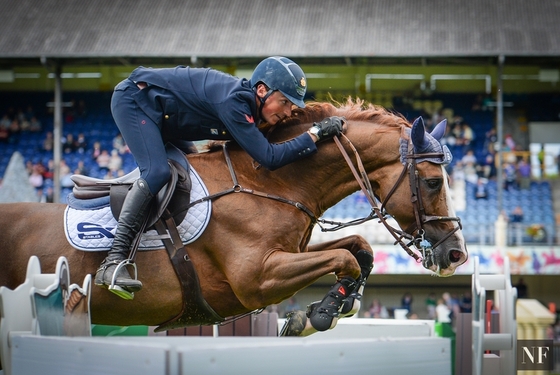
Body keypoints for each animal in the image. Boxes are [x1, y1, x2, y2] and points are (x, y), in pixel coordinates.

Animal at [0, 99, 468, 340]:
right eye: (431, 181)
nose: (456, 255)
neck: (268, 180)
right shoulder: (257, 278)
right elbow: (346, 259)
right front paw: (322, 312)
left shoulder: (290, 253)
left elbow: (359, 249)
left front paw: (326, 307)